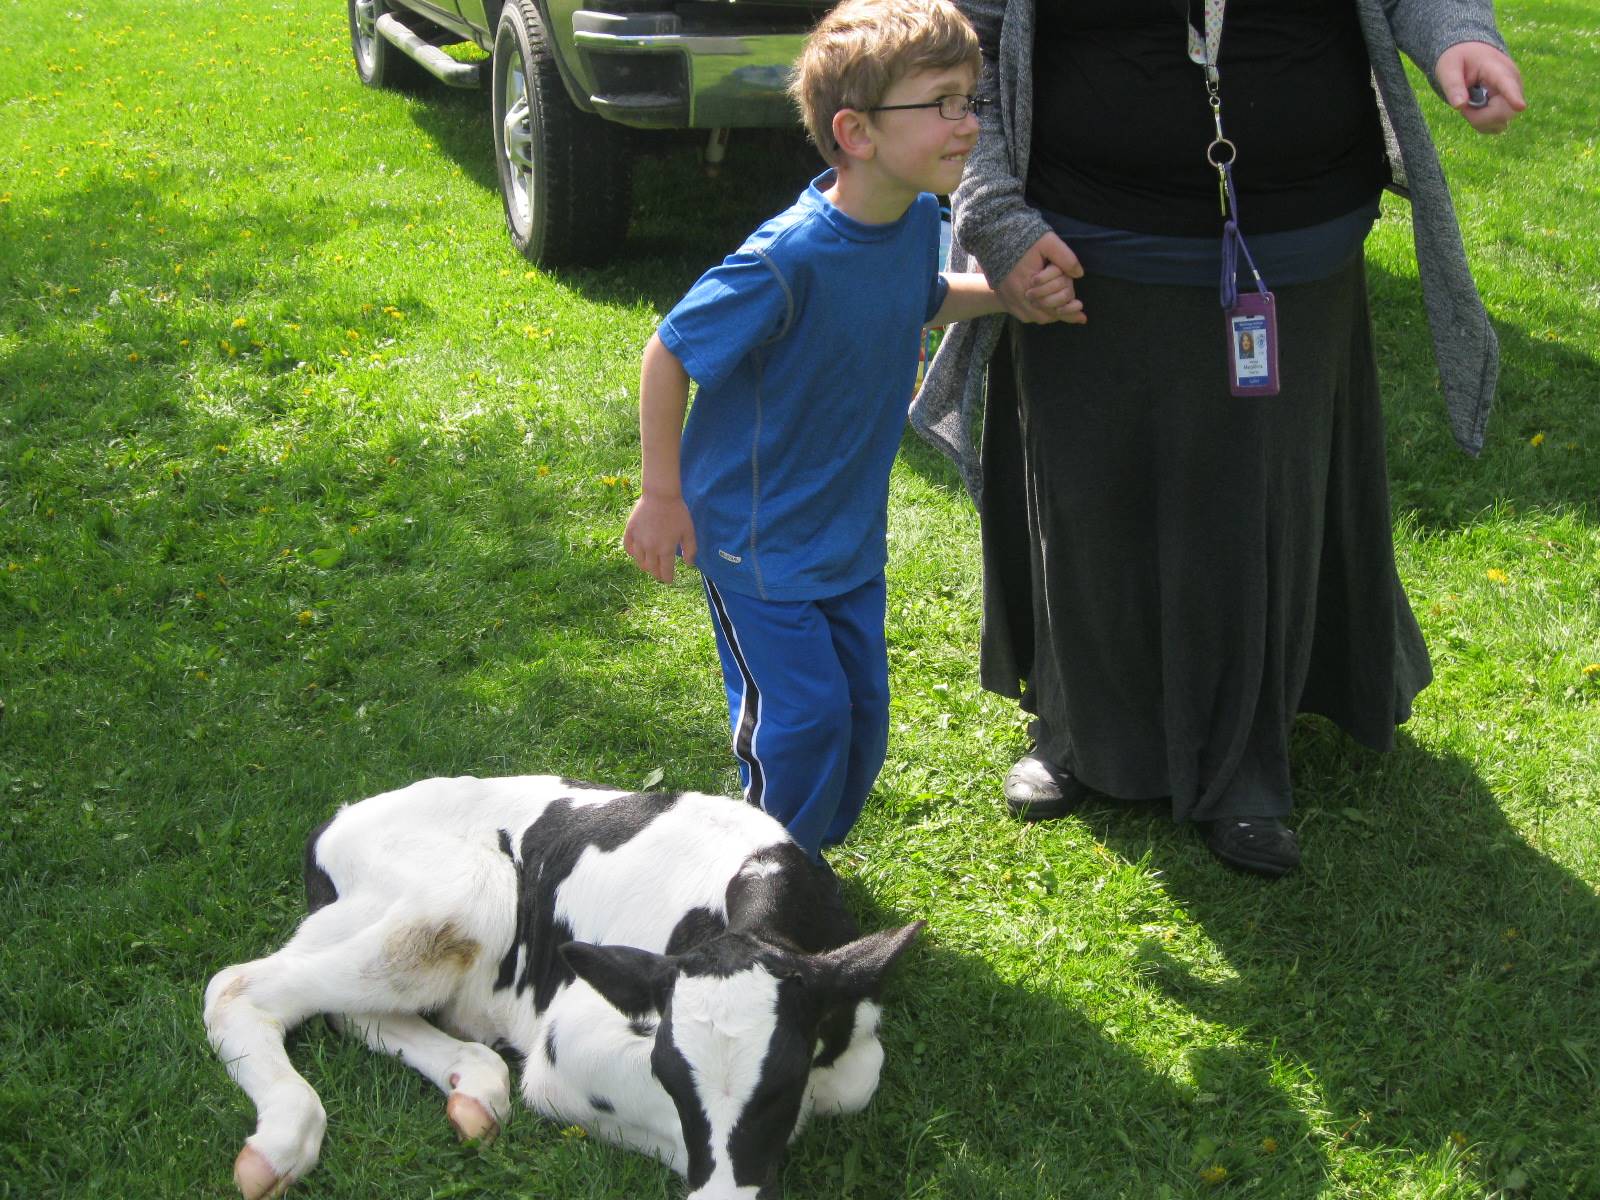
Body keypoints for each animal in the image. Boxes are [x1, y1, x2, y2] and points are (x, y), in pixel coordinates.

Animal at [206, 774, 921, 1196]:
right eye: (668, 1075)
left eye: (781, 1080)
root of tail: (337, 819)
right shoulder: (569, 1043)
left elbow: (852, 1084)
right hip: (462, 900)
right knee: (236, 986)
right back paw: (281, 1141)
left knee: (346, 1010)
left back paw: (475, 1087)